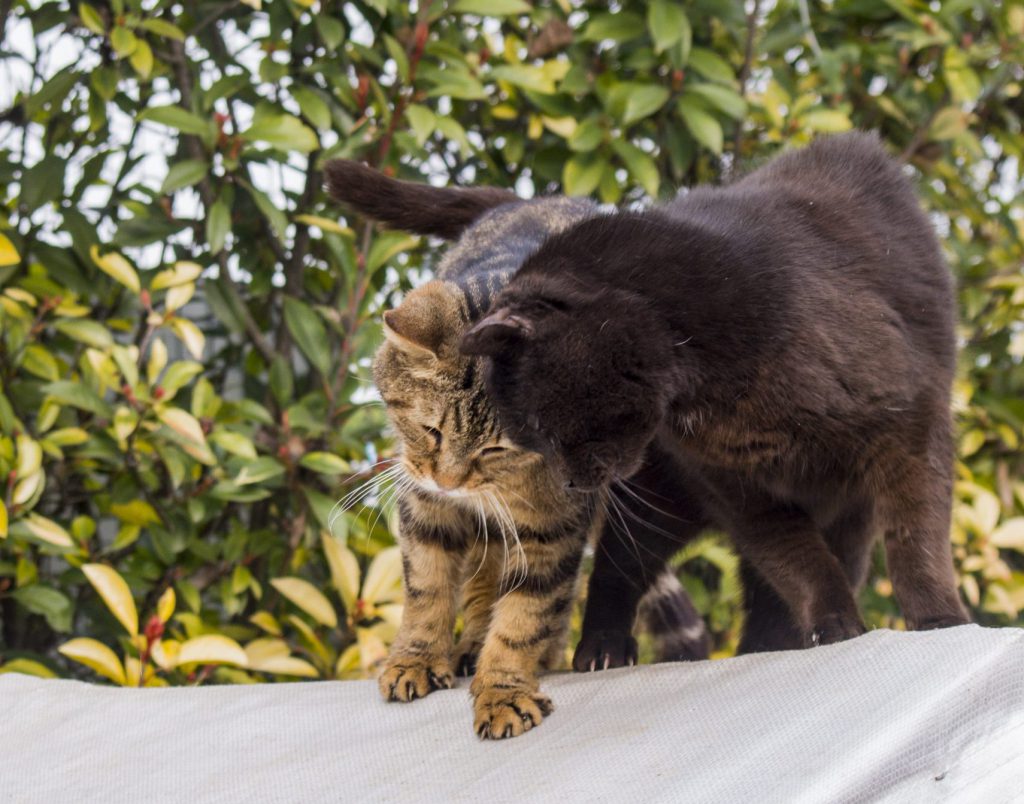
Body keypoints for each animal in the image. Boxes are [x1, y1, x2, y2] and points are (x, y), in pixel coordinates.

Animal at [323, 164, 708, 741]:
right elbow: (427, 589)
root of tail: (535, 198)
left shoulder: (555, 528)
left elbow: (525, 617)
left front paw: (504, 689)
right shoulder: (424, 505)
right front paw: (416, 659)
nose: (451, 481)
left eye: (498, 447)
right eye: (431, 431)